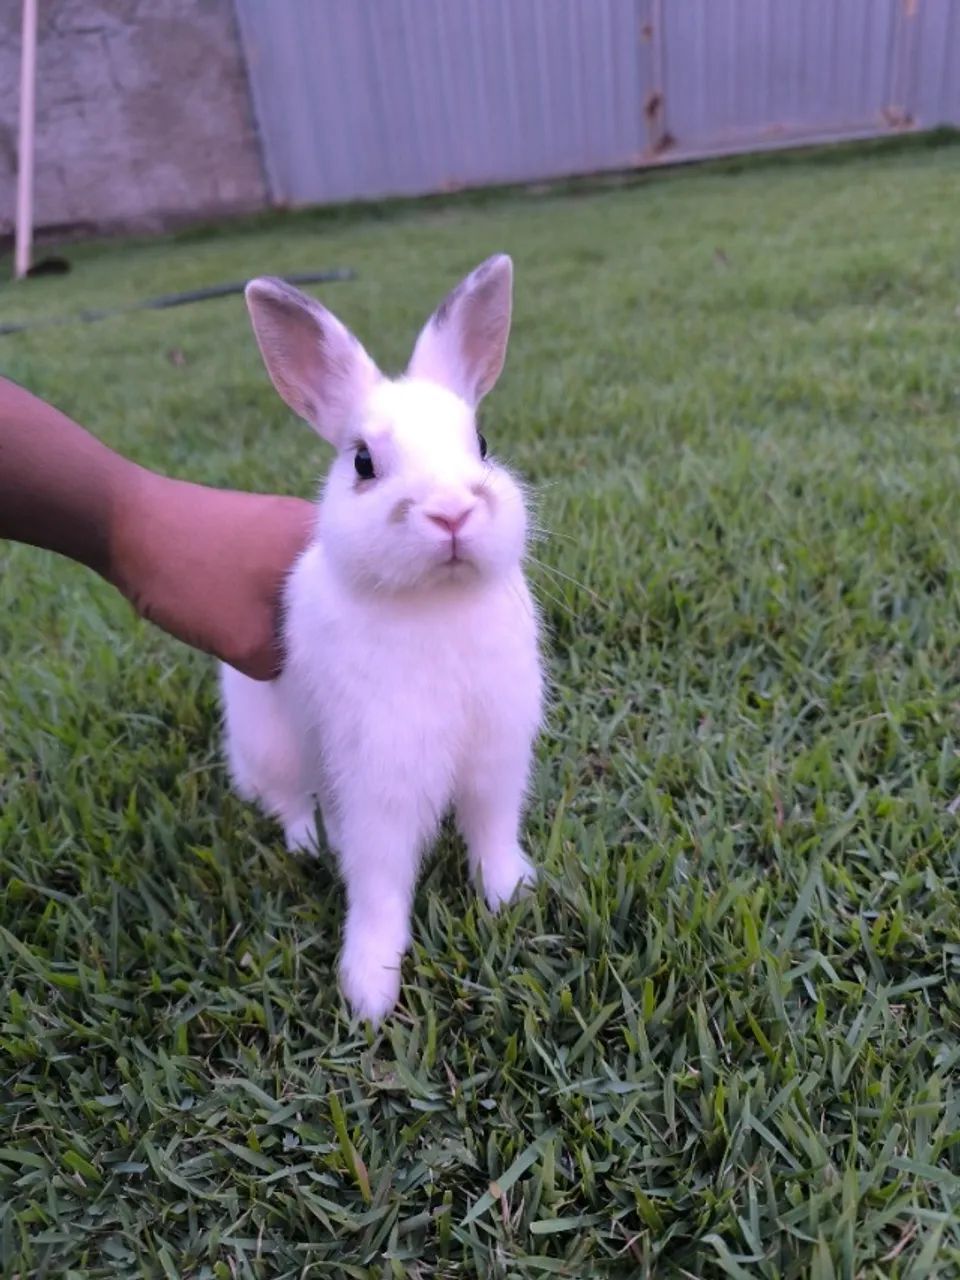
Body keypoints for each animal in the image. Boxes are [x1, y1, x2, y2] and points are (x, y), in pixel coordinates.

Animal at [220, 254, 544, 1023]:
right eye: (363, 462)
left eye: (482, 445)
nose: (451, 513)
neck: (436, 604)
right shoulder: (380, 773)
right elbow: (379, 880)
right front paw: (369, 989)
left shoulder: (496, 755)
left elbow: (492, 831)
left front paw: (512, 895)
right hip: (273, 745)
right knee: (287, 801)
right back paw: (309, 840)